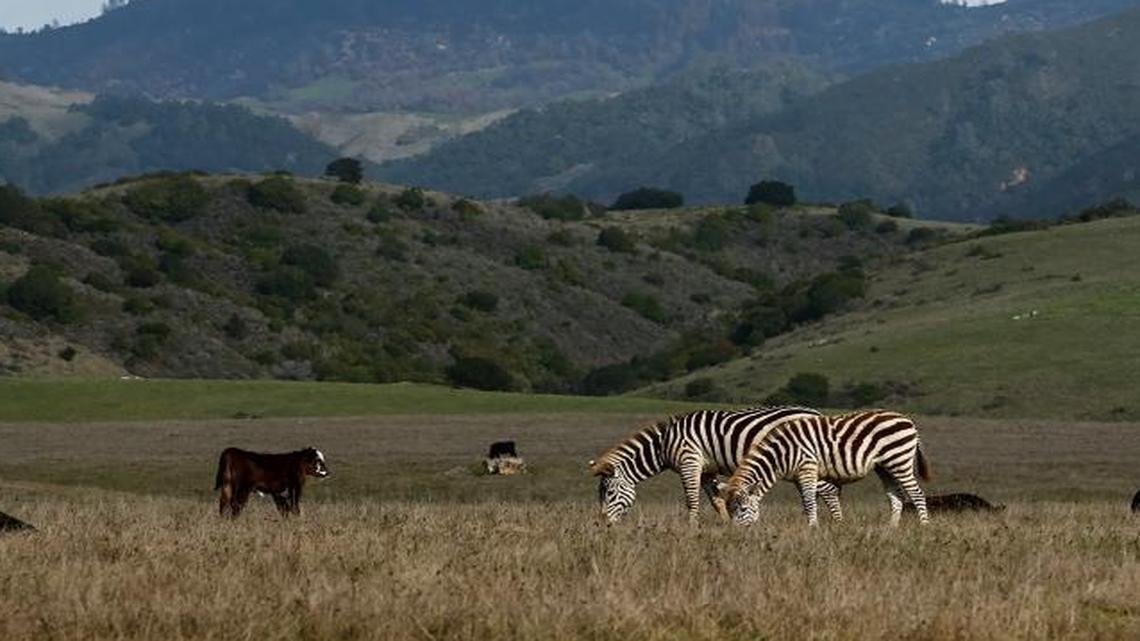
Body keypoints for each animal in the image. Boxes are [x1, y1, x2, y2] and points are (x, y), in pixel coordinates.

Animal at [588, 406, 844, 525]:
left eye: (609, 493)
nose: (602, 524)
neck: (663, 444)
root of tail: (816, 413)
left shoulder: (689, 461)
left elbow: (691, 499)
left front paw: (692, 528)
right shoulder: (706, 470)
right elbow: (716, 500)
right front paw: (727, 523)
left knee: (828, 491)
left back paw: (836, 526)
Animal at [720, 410, 931, 527]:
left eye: (743, 508)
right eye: (729, 509)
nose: (736, 534)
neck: (780, 455)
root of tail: (908, 420)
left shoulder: (807, 468)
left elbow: (809, 500)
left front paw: (812, 527)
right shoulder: (798, 476)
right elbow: (807, 501)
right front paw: (810, 525)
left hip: (899, 460)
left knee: (917, 493)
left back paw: (924, 525)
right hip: (885, 466)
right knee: (897, 495)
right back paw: (891, 528)